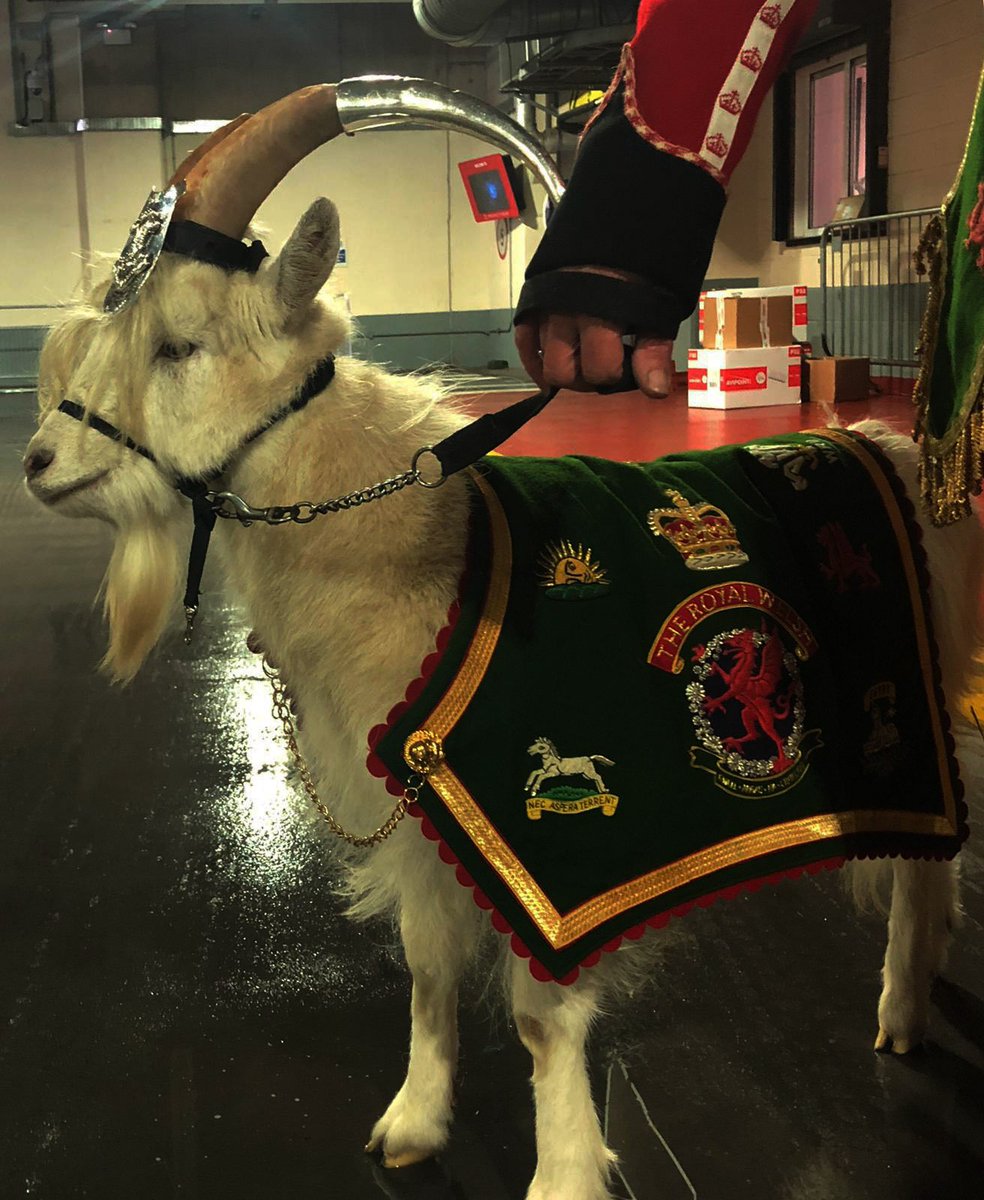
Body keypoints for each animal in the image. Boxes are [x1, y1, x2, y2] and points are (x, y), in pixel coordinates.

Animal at [23, 85, 984, 1200]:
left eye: (177, 346)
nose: (39, 463)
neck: (424, 548)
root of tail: (889, 444)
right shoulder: (431, 810)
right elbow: (428, 965)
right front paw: (413, 1119)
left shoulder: (556, 848)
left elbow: (539, 1015)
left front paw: (562, 1170)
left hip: (903, 709)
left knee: (925, 860)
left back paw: (902, 1010)